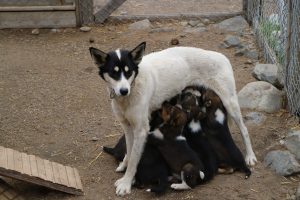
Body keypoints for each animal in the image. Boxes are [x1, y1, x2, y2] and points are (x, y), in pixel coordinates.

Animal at [88, 41, 255, 195]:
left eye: (128, 73)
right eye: (114, 73)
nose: (124, 90)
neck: (132, 89)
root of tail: (222, 56)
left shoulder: (141, 130)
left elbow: (135, 159)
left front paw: (126, 183)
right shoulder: (128, 127)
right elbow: (129, 153)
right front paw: (124, 168)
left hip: (230, 103)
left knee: (245, 130)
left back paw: (250, 157)